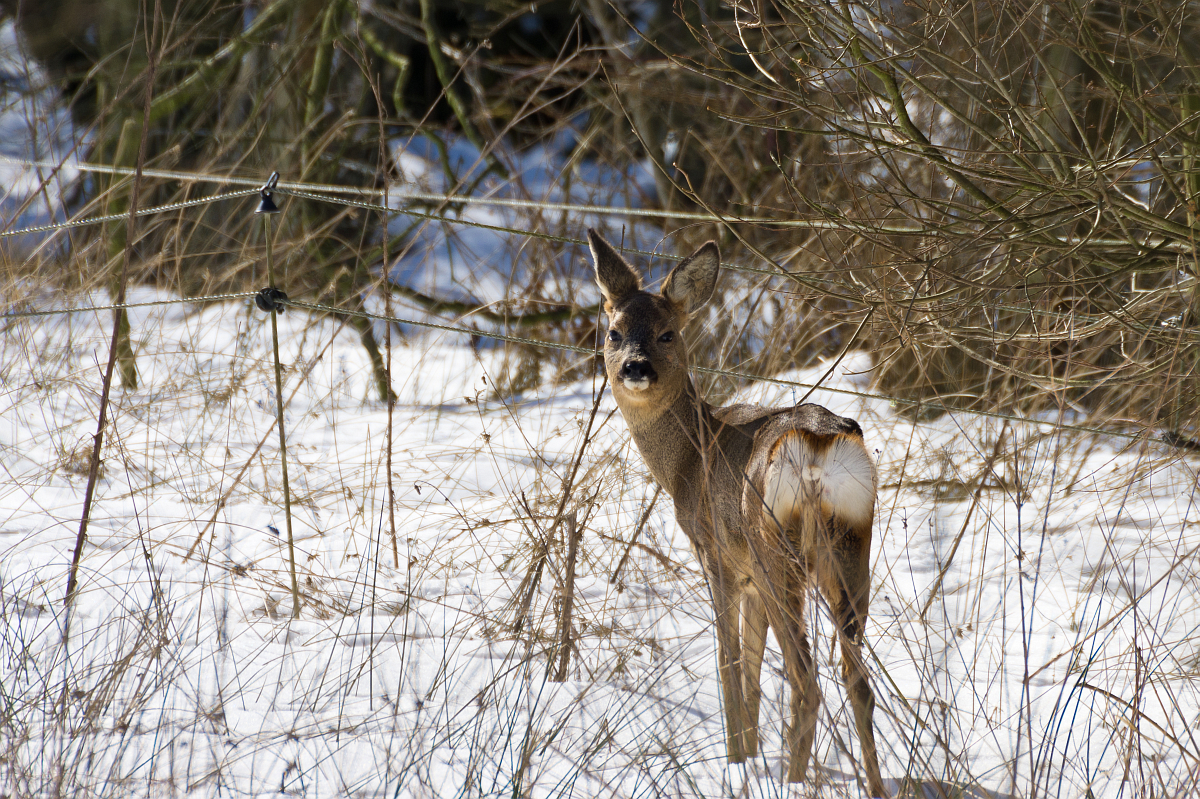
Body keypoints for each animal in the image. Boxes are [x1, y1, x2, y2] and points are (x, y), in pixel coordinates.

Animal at [588, 226, 883, 791]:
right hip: (852, 548)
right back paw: (874, 787)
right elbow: (750, 670)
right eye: (613, 333)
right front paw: (745, 756)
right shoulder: (748, 579)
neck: (688, 460)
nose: (635, 367)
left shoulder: (717, 556)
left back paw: (793, 782)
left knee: (806, 681)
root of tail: (816, 446)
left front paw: (736, 763)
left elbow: (728, 663)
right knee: (857, 681)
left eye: (667, 334)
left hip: (776, 552)